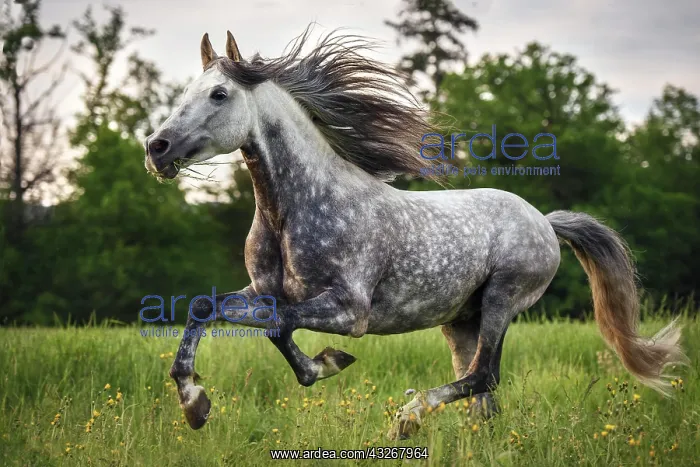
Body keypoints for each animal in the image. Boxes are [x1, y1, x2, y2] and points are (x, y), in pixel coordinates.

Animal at [144, 28, 687, 440]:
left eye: (219, 94)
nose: (156, 148)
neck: (292, 212)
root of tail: (545, 222)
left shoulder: (350, 311)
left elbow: (281, 327)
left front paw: (328, 363)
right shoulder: (265, 292)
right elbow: (206, 308)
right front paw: (195, 405)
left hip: (502, 301)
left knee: (482, 376)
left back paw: (407, 418)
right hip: (461, 320)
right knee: (481, 391)